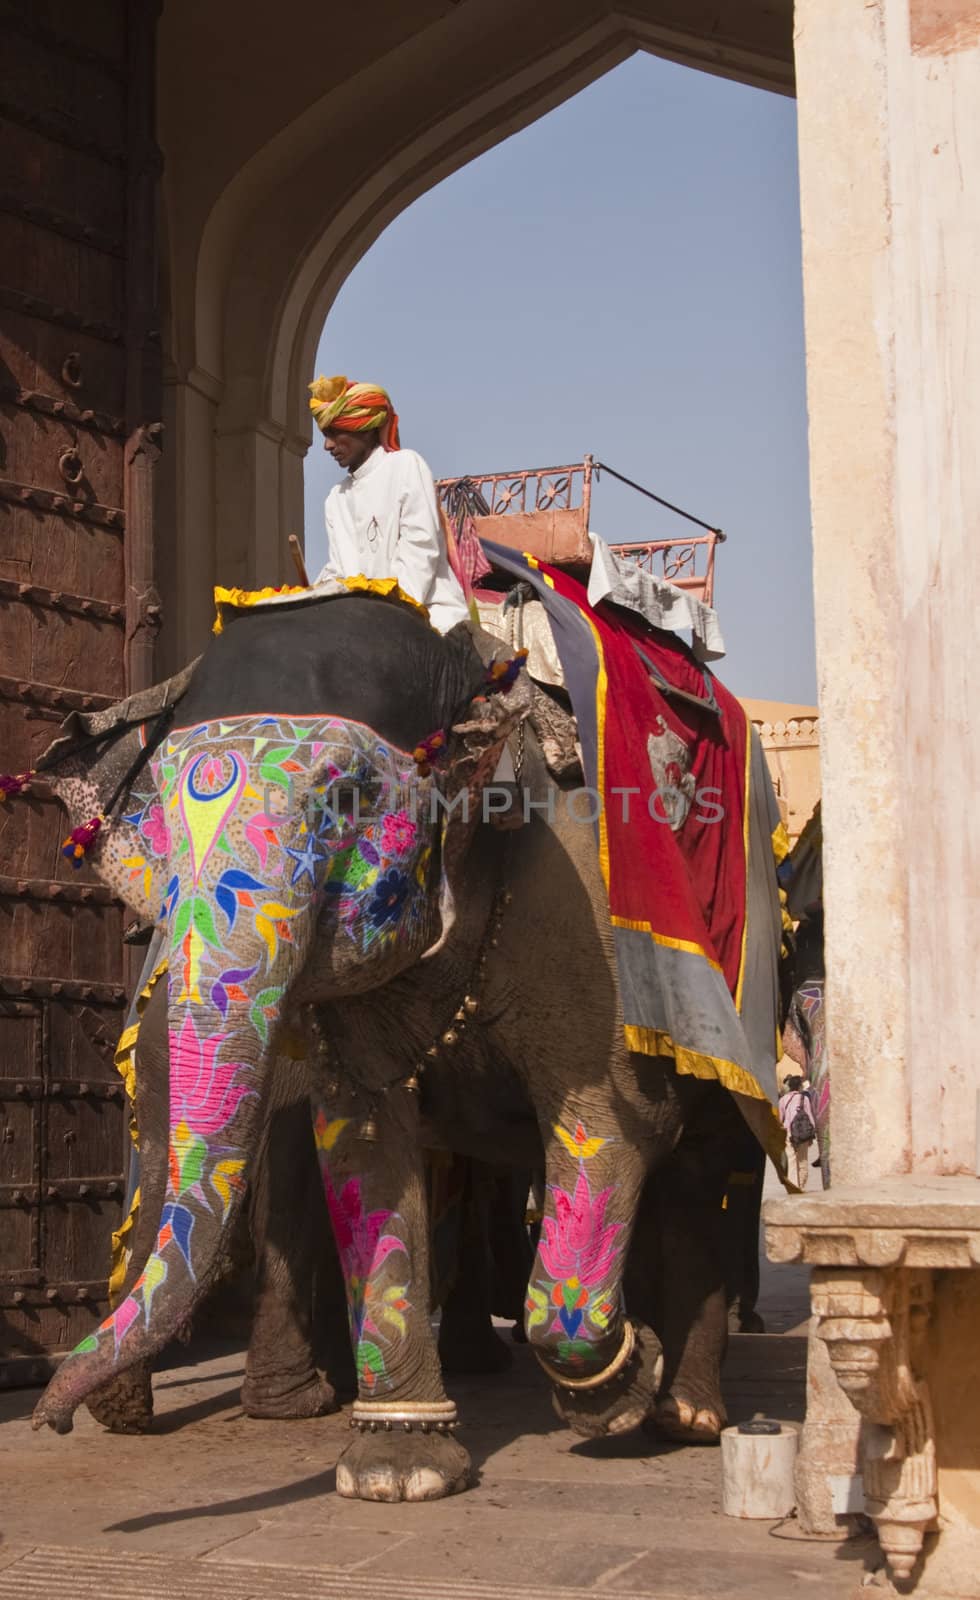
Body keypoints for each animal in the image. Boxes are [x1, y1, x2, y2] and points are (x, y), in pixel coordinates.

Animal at [15, 553, 787, 1497]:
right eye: (154, 818)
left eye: (346, 797)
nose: (48, 1420)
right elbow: (363, 1138)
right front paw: (401, 1466)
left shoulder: (586, 907)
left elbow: (609, 1121)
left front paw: (618, 1394)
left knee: (707, 1162)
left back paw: (689, 1416)